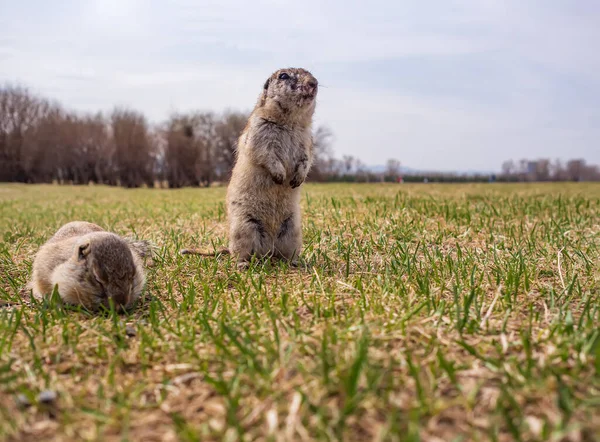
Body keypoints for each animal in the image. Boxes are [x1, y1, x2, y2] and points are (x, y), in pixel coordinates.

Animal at [180, 67, 318, 268]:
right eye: (283, 76)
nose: (313, 83)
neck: (290, 122)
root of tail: (268, 250)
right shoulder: (259, 132)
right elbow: (264, 154)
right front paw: (279, 176)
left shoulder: (307, 140)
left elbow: (306, 159)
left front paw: (297, 178)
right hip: (245, 228)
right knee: (240, 254)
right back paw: (243, 264)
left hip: (292, 231)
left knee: (284, 255)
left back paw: (295, 263)